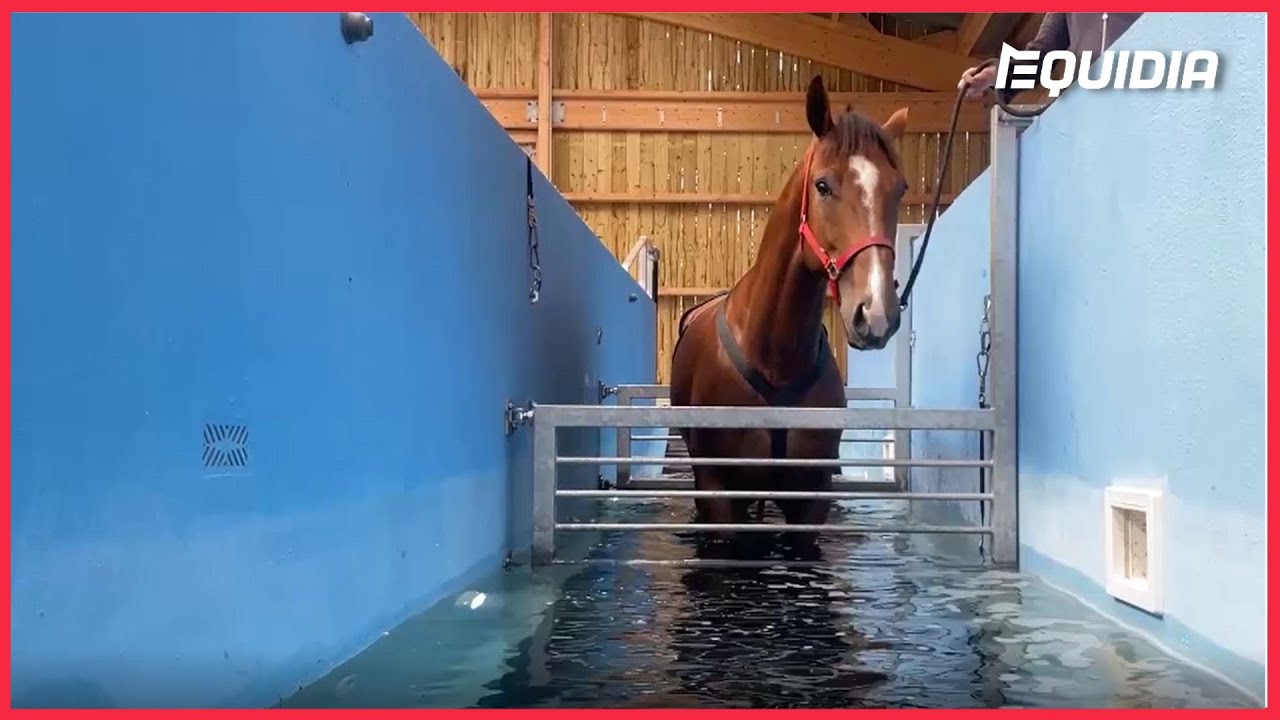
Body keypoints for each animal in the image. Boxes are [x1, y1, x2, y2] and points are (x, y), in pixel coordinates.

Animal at [669, 75, 910, 553]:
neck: (774, 359)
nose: (875, 313)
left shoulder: (810, 498)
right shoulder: (718, 494)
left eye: (899, 189)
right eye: (822, 185)